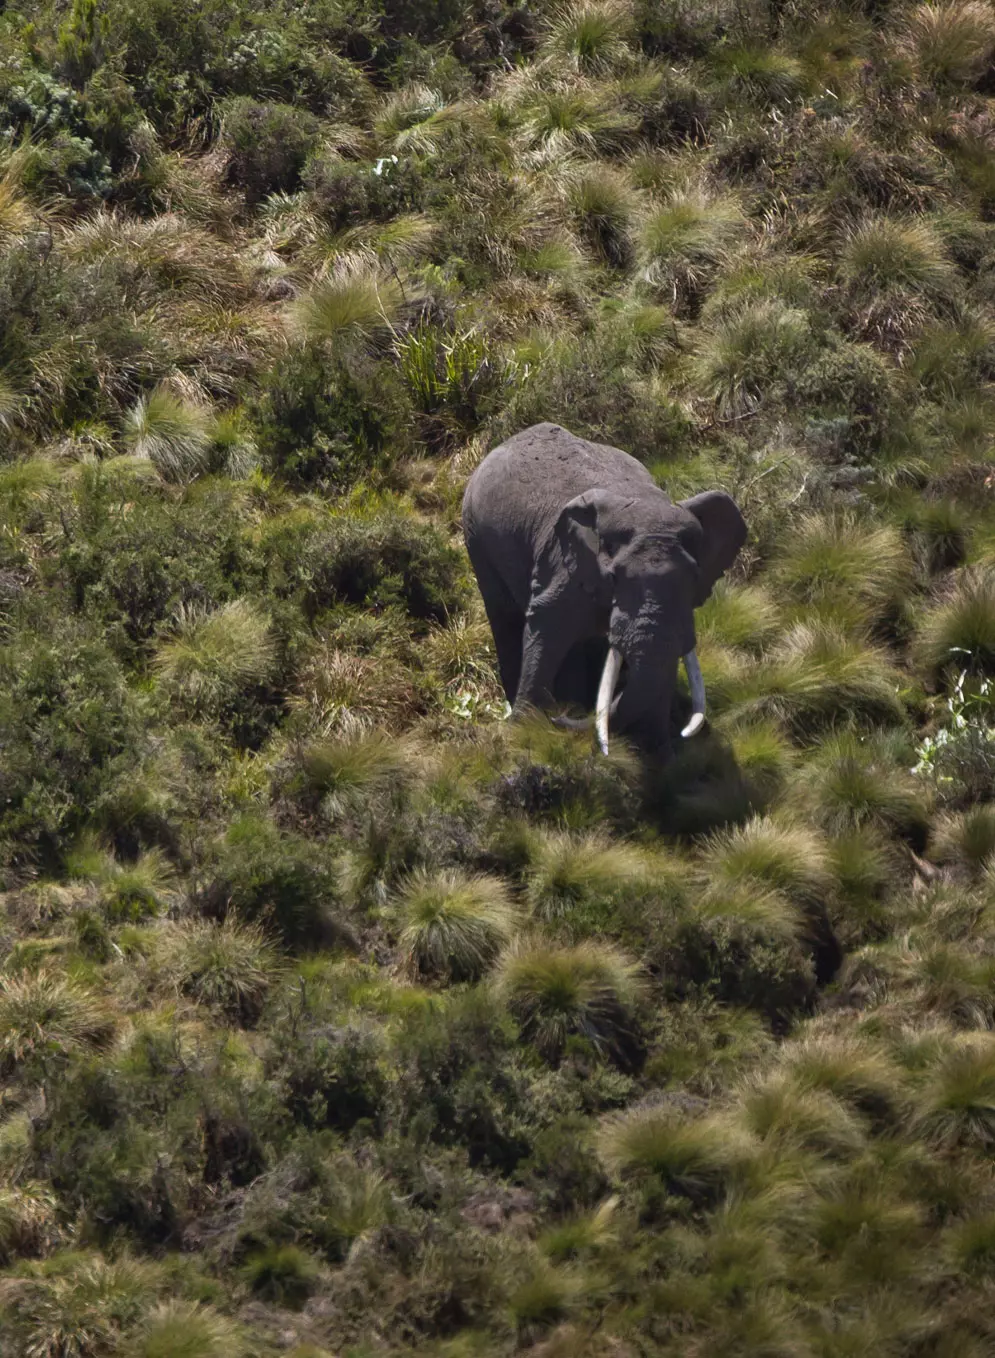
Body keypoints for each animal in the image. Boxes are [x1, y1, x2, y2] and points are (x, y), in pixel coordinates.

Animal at [458, 420, 743, 760]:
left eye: (695, 578)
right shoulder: (563, 561)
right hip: (475, 532)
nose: (560, 718)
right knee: (503, 613)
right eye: (615, 577)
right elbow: (547, 627)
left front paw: (660, 756)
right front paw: (522, 736)